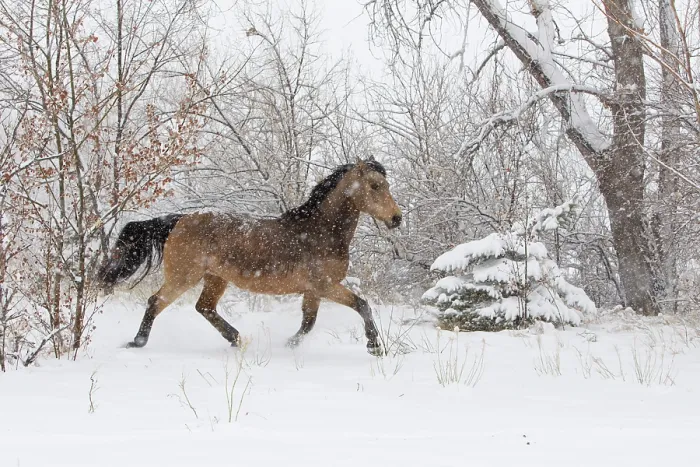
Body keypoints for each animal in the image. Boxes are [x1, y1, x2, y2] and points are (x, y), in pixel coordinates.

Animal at [96, 158, 402, 356]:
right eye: (375, 186)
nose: (396, 219)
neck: (319, 232)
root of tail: (179, 220)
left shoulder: (313, 290)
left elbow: (308, 322)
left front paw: (288, 346)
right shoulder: (325, 285)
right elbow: (362, 305)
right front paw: (375, 347)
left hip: (215, 278)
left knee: (204, 307)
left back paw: (237, 339)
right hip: (184, 276)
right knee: (156, 301)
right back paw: (137, 342)